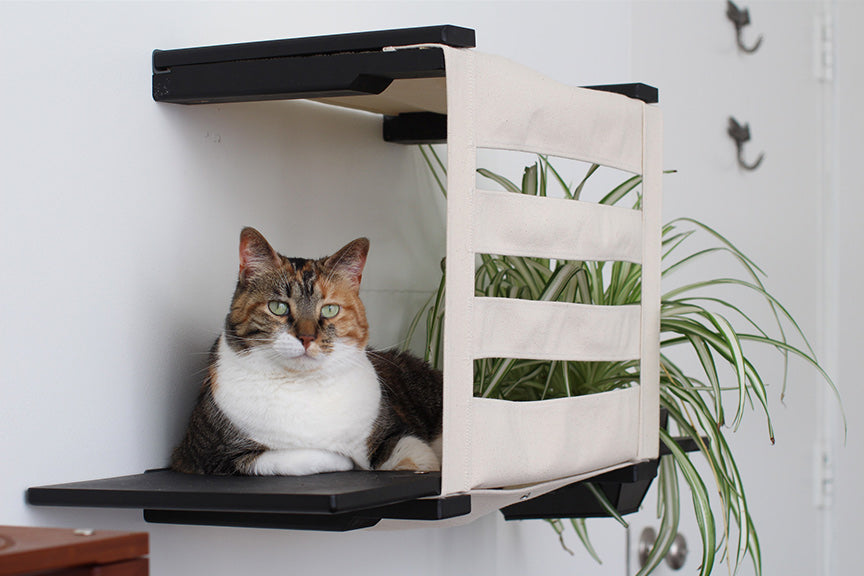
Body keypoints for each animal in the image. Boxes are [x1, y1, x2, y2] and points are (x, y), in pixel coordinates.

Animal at [172, 227, 442, 474]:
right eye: (278, 307)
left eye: (330, 309)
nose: (307, 337)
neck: (305, 385)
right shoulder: (208, 457)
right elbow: (301, 457)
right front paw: (344, 460)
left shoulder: (394, 432)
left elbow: (417, 455)